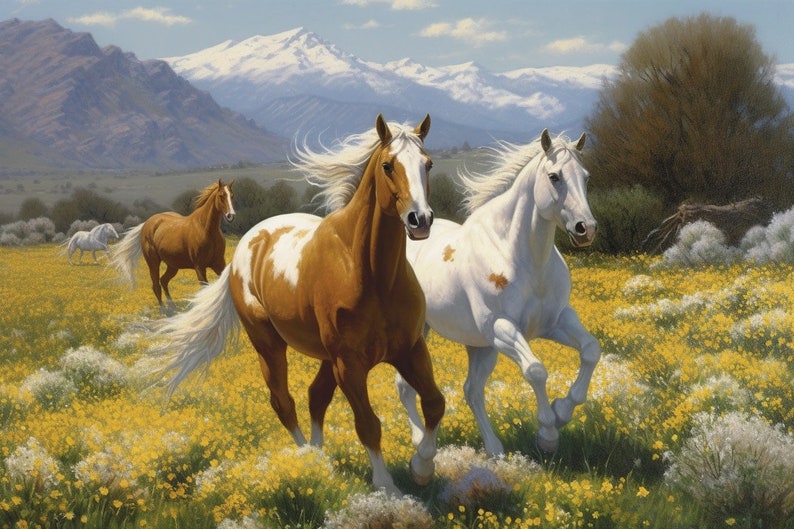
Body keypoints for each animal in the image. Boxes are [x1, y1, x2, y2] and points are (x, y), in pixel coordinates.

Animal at [111, 179, 235, 311]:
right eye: (221, 195)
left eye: (232, 196)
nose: (230, 216)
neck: (205, 229)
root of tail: (147, 223)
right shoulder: (200, 267)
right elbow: (204, 289)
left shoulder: (219, 263)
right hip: (153, 263)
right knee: (156, 285)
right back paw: (165, 310)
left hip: (173, 265)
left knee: (163, 281)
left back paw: (173, 307)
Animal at [148, 114, 444, 496]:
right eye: (388, 165)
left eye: (428, 164)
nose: (419, 220)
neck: (371, 272)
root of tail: (244, 248)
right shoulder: (350, 364)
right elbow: (368, 423)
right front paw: (387, 486)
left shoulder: (409, 349)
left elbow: (435, 403)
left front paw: (421, 467)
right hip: (269, 344)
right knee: (283, 401)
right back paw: (307, 459)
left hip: (326, 357)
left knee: (314, 396)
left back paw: (319, 459)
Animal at [396, 129, 601, 455]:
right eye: (554, 176)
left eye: (586, 176)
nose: (586, 229)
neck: (522, 257)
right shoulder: (501, 327)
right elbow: (536, 370)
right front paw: (548, 433)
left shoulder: (556, 321)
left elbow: (591, 350)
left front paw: (562, 411)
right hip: (419, 333)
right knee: (405, 386)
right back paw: (421, 445)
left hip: (480, 346)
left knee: (472, 390)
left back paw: (494, 449)